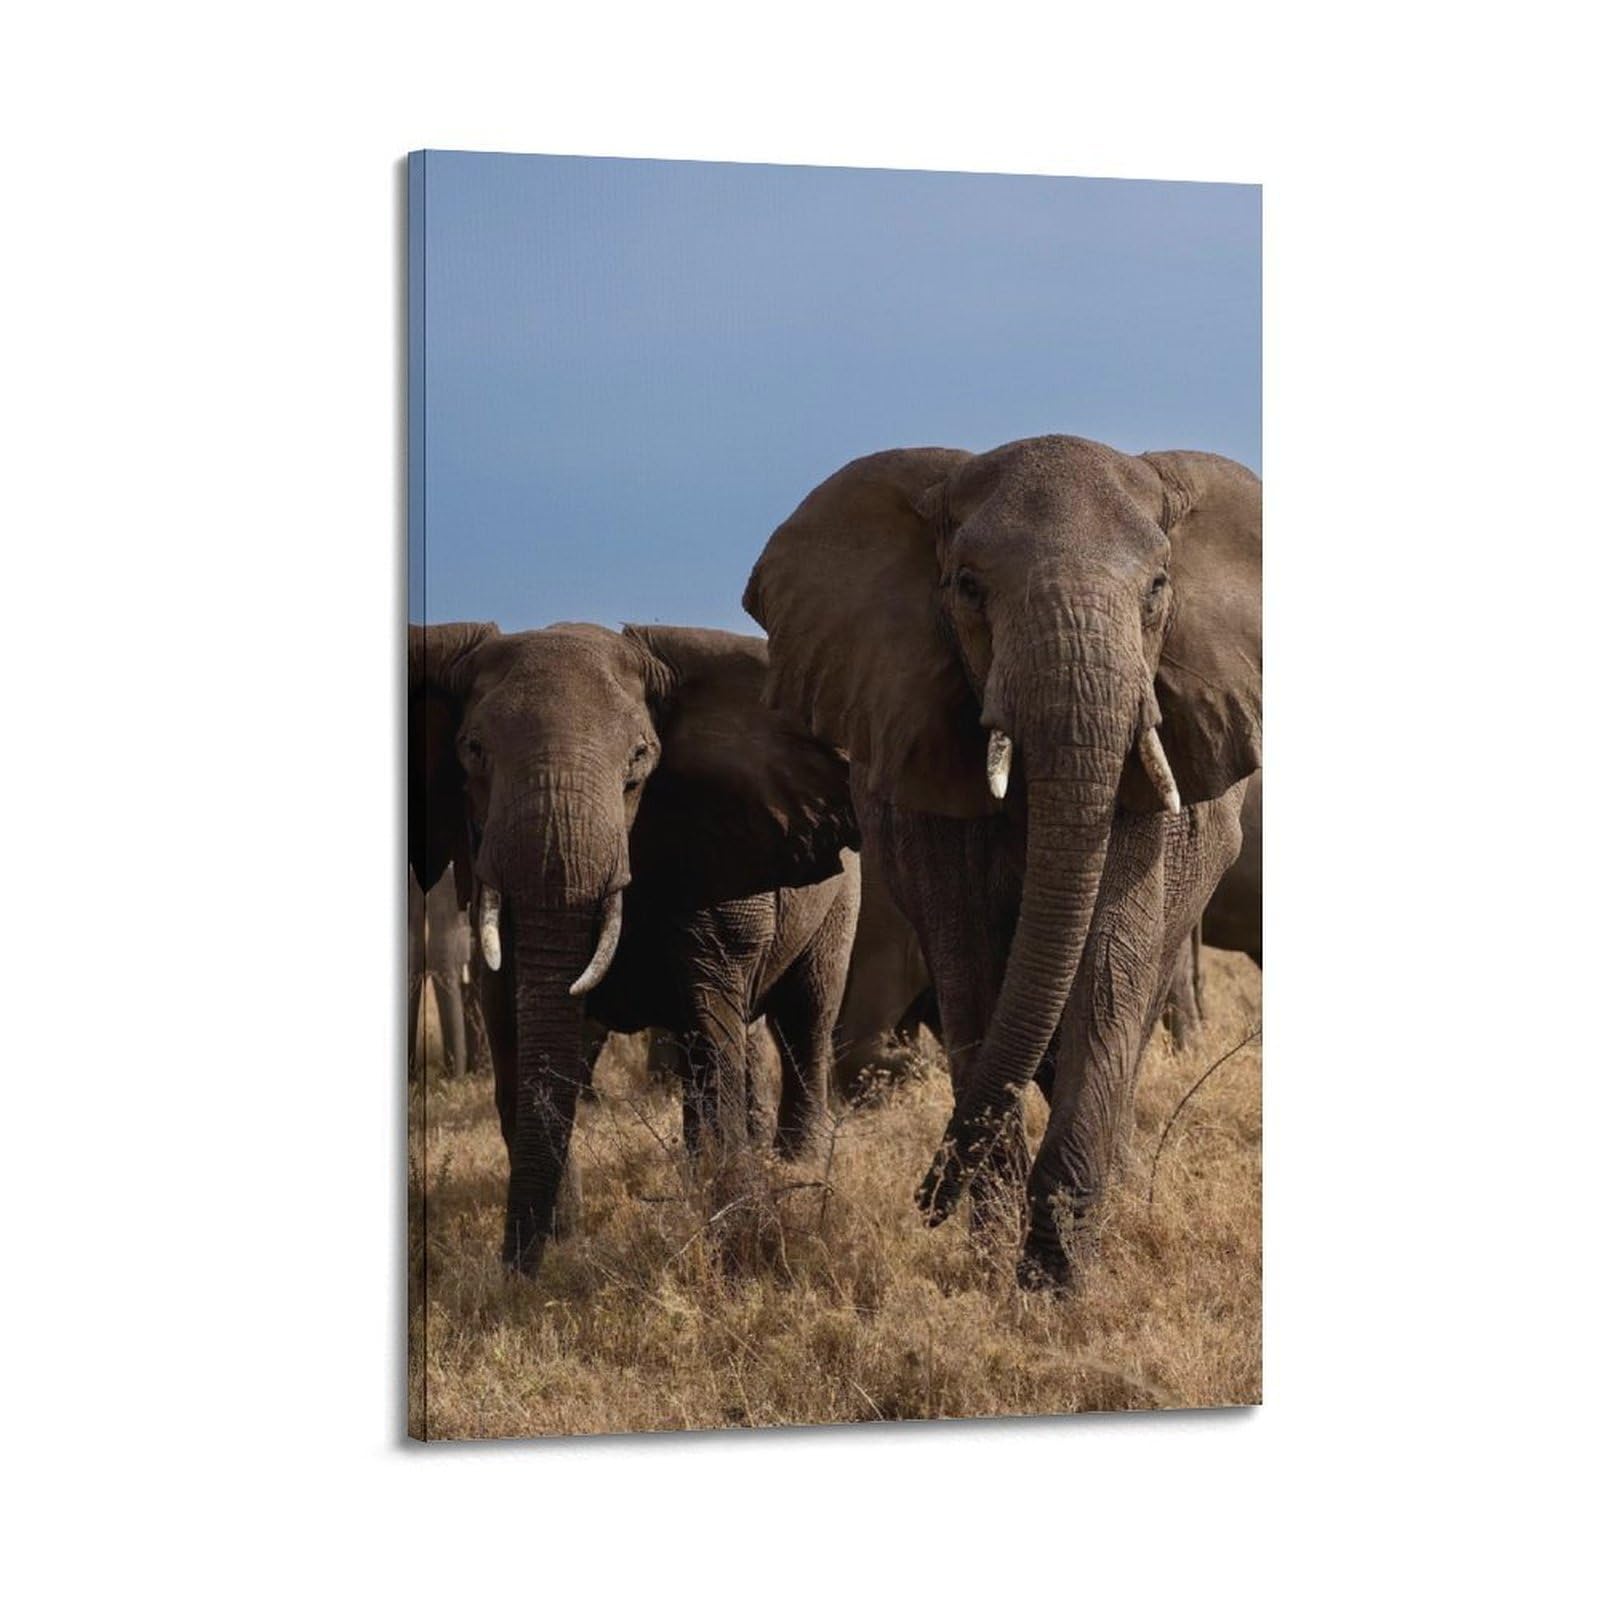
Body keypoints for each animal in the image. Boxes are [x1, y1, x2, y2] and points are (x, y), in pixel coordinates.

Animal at [410, 620, 861, 1278]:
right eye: (472, 750)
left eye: (640, 758)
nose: (514, 1271)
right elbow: (518, 1034)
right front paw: (557, 1239)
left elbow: (709, 1034)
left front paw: (730, 1229)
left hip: (843, 899)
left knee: (805, 1015)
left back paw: (791, 1167)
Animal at [745, 434, 1260, 1287]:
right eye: (968, 587)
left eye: (1158, 588)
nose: (925, 1199)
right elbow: (977, 976)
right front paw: (994, 1267)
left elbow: (1107, 970)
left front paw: (1058, 1281)